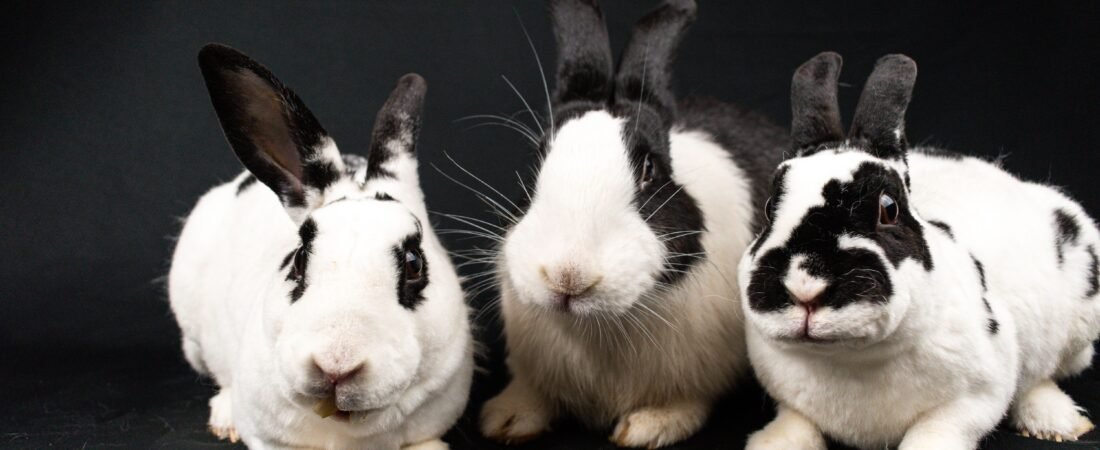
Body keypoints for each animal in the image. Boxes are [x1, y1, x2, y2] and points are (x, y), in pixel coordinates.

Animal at [478, 0, 787, 447]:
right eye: (537, 159)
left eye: (649, 170)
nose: (567, 275)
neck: (596, 327)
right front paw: (505, 418)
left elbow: (684, 402)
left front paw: (647, 427)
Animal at [739, 51, 1100, 450]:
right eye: (770, 208)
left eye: (888, 208)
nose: (805, 288)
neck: (850, 358)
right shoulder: (786, 395)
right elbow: (795, 421)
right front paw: (773, 443)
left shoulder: (978, 395)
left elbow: (938, 430)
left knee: (1042, 376)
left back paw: (1058, 422)